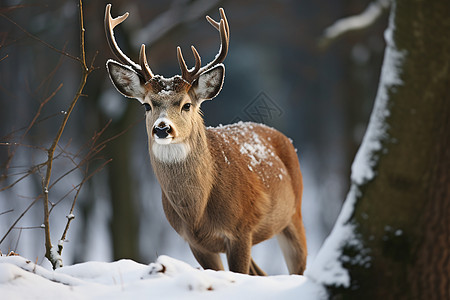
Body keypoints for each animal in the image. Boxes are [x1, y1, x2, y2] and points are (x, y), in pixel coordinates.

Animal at [104, 4, 308, 276]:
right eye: (147, 105)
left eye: (186, 104)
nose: (162, 128)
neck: (196, 214)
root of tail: (283, 138)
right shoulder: (195, 243)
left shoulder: (241, 230)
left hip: (294, 214)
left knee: (297, 267)